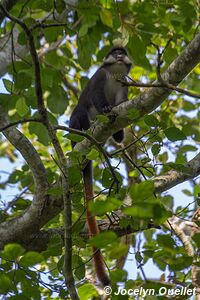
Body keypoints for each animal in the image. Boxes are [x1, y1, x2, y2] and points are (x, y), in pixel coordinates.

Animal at [69, 45, 132, 284]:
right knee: (80, 112)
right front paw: (105, 108)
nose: (120, 56)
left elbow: (121, 106)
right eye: (115, 53)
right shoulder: (99, 76)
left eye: (123, 52)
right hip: (75, 126)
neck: (114, 74)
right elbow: (96, 95)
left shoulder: (125, 84)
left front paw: (119, 131)